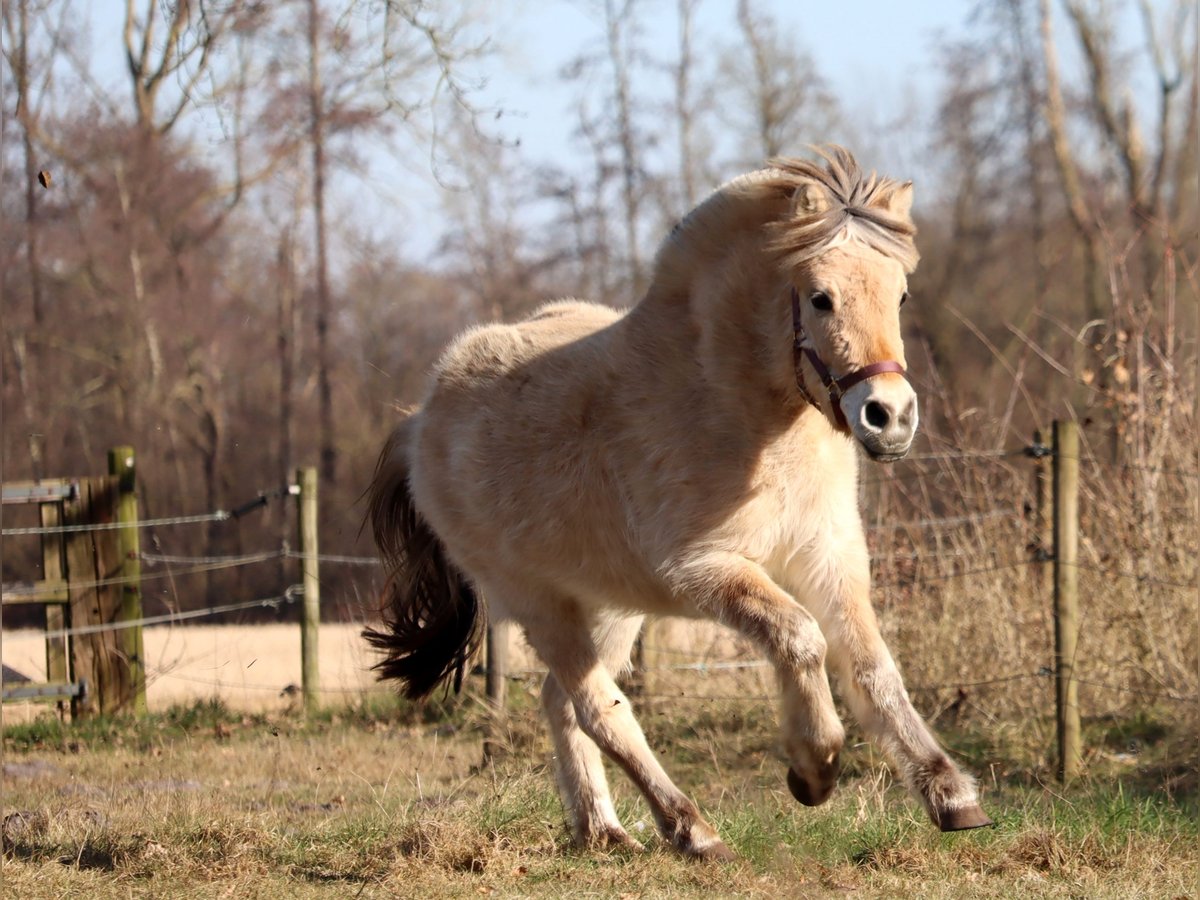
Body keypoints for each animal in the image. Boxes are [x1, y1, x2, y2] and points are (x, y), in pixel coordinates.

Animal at [362, 146, 993, 859]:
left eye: (900, 294)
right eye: (821, 297)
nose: (890, 418)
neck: (733, 409)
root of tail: (422, 421)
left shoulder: (828, 556)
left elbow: (874, 670)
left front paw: (951, 795)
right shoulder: (705, 570)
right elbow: (800, 638)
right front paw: (814, 768)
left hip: (612, 606)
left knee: (562, 704)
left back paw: (603, 832)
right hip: (539, 603)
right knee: (598, 708)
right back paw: (691, 829)